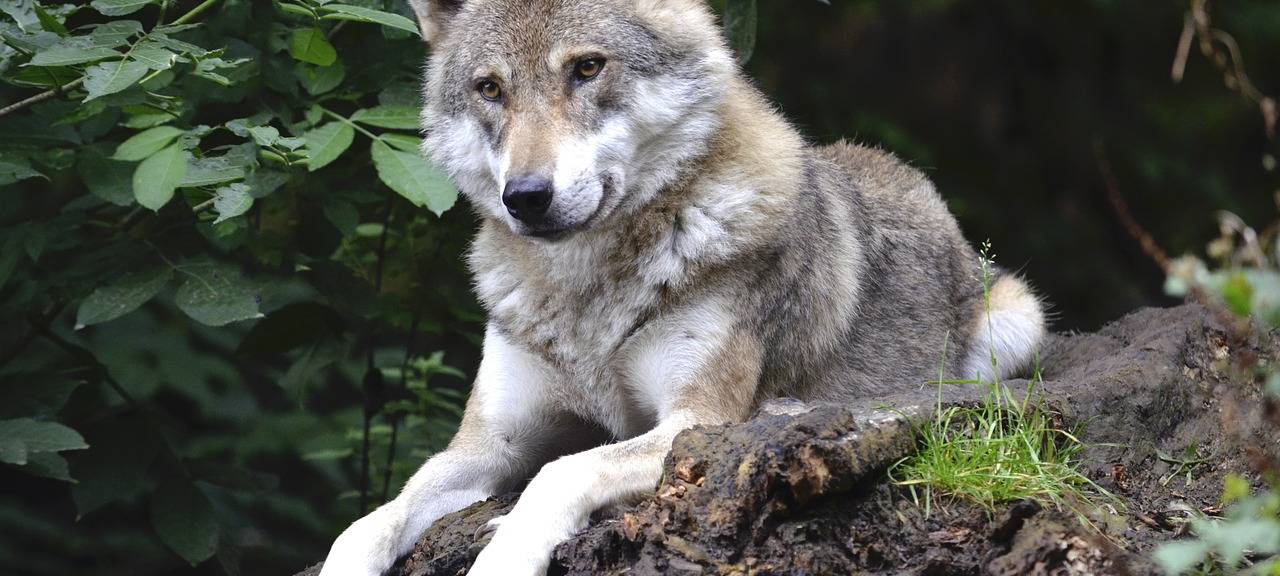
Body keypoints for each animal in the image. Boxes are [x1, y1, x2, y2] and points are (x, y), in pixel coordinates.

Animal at [319, 0, 1047, 574]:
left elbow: (563, 469)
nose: (525, 197)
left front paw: (506, 553)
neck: (587, 293)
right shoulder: (486, 445)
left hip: (1017, 322)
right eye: (490, 88)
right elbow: (371, 519)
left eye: (588, 68)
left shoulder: (694, 422)